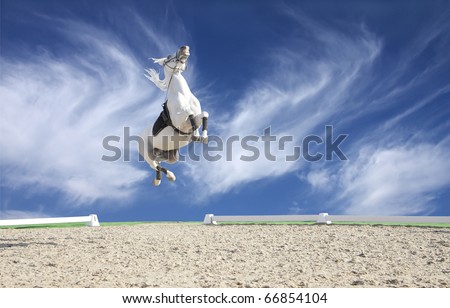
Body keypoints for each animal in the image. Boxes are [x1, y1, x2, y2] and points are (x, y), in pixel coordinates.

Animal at [140, 45, 208, 185]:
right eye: (168, 57)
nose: (184, 48)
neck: (182, 95)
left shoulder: (196, 117)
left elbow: (204, 114)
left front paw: (202, 136)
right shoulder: (179, 121)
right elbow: (189, 113)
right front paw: (196, 136)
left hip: (169, 156)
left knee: (157, 164)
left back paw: (159, 179)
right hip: (147, 154)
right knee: (154, 165)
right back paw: (169, 177)